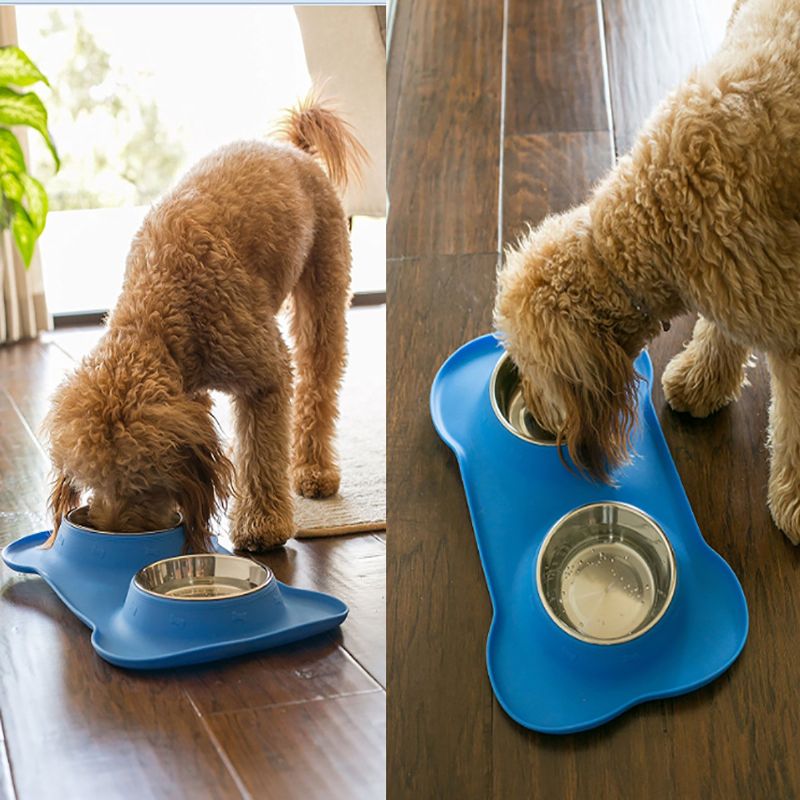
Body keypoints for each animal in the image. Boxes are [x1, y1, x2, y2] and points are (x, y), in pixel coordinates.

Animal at [45, 95, 364, 552]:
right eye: (93, 481)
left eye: (139, 482)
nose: (113, 533)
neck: (160, 309)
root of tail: (293, 151)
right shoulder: (190, 389)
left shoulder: (265, 377)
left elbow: (260, 456)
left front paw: (262, 525)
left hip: (324, 293)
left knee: (318, 386)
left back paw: (313, 470)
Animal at [490, 0, 800, 544]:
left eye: (531, 366)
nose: (536, 413)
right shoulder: (730, 274)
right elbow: (720, 332)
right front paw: (703, 380)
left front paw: (795, 501)